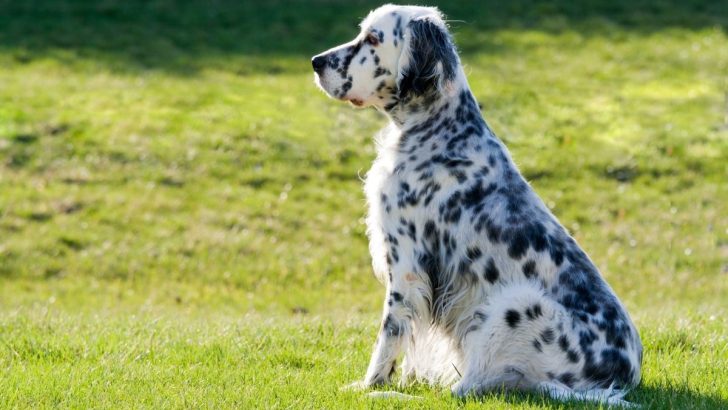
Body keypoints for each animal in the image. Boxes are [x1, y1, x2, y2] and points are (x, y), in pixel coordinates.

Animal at [310, 3, 640, 406]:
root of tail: (621, 378)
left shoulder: (407, 265)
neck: (439, 129)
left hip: (515, 304)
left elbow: (390, 335)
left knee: (463, 390)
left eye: (373, 38)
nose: (315, 62)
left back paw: (392, 396)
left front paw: (370, 385)